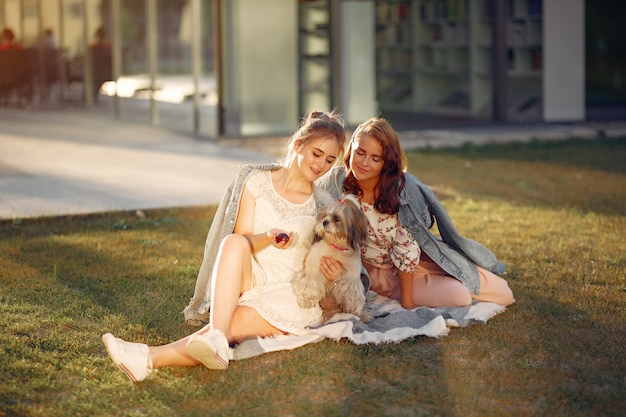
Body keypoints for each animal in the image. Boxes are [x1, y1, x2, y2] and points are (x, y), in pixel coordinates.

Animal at [292, 194, 370, 322]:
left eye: (337, 219)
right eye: (324, 216)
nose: (324, 222)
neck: (336, 248)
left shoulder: (351, 277)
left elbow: (352, 292)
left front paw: (354, 309)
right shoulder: (313, 268)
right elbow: (310, 284)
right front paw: (306, 299)